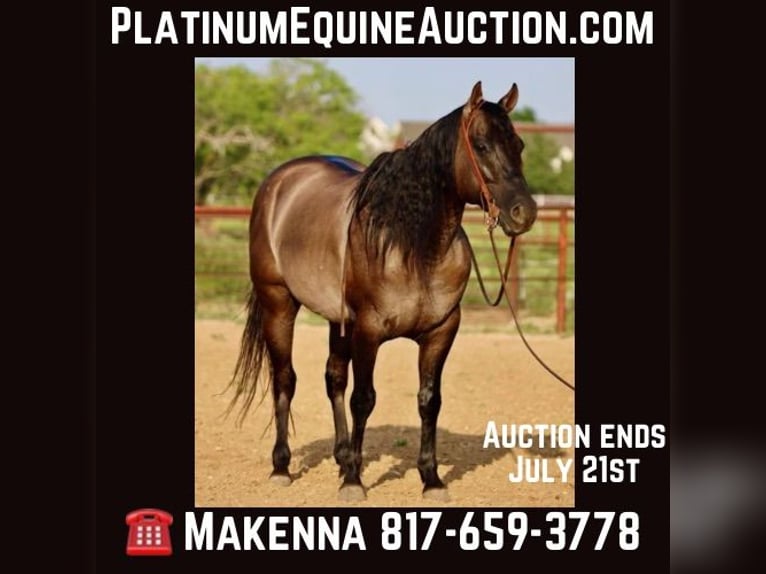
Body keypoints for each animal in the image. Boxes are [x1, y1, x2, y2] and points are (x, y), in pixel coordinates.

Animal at [227, 81, 538, 501]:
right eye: (482, 144)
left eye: (518, 144)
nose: (525, 212)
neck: (414, 245)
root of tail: (278, 183)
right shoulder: (368, 331)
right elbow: (364, 399)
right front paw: (354, 483)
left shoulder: (441, 332)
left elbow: (429, 401)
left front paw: (431, 479)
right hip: (279, 304)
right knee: (285, 379)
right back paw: (282, 467)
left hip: (336, 320)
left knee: (333, 378)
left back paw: (342, 457)